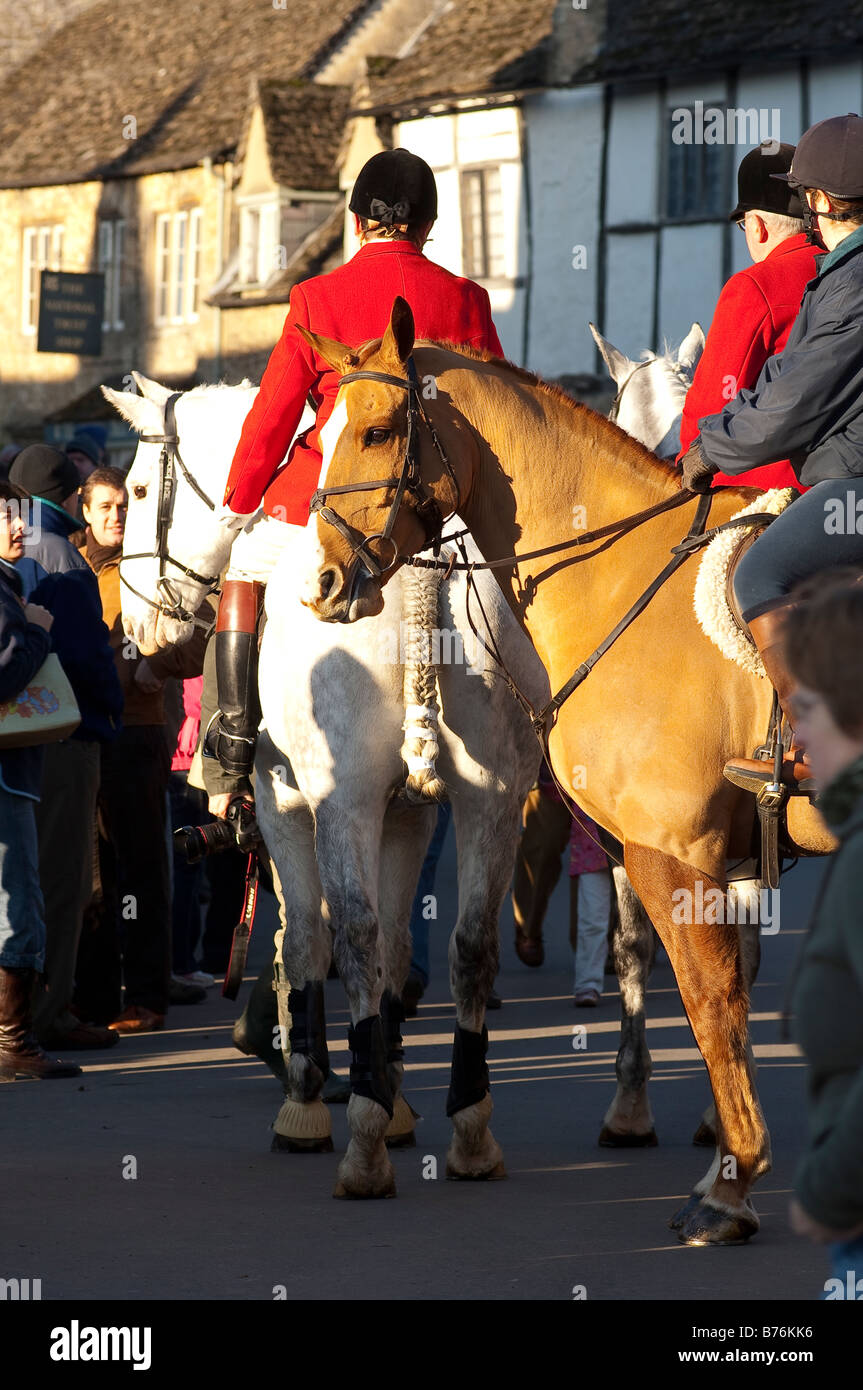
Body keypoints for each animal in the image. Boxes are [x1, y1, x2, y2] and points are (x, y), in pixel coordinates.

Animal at [102, 375, 544, 1200]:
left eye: (139, 488)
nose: (141, 637)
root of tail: (424, 577)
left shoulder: (286, 807)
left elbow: (304, 938)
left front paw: (309, 1098)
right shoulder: (407, 817)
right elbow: (402, 946)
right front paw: (391, 1093)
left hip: (339, 803)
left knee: (352, 936)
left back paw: (361, 1147)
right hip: (490, 803)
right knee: (468, 943)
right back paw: (468, 1131)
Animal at [293, 296, 833, 1251]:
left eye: (379, 430)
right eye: (316, 433)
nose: (323, 582)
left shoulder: (669, 851)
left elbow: (712, 1007)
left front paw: (729, 1184)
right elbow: (714, 992)